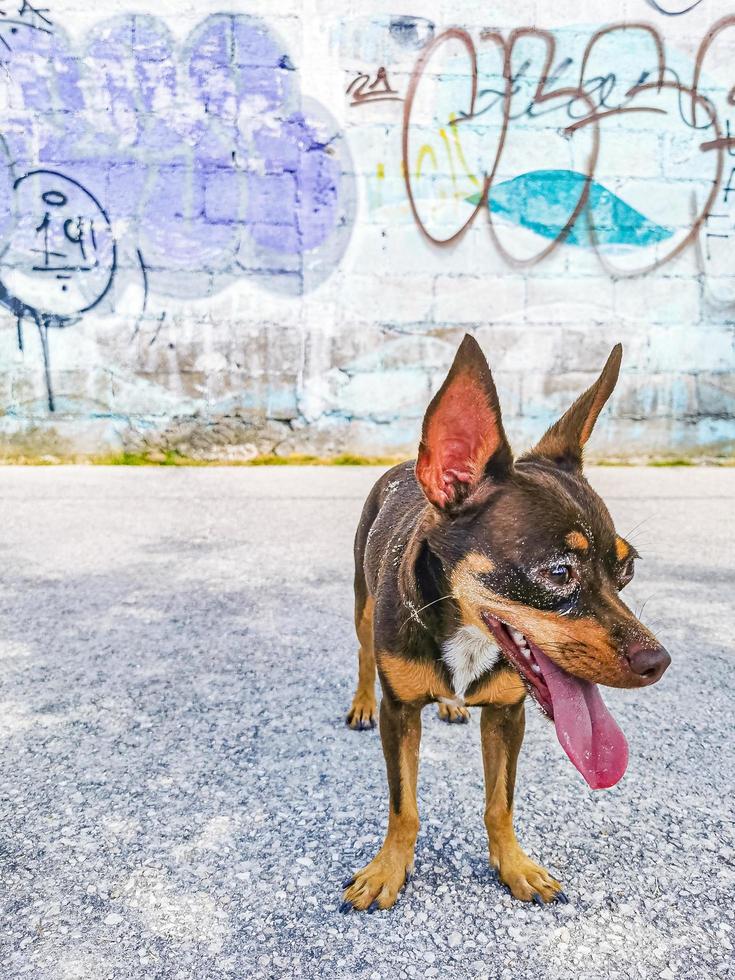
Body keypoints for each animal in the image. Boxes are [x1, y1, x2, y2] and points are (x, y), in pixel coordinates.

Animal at [342, 334, 668, 912]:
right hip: (362, 603)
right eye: (558, 573)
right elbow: (404, 807)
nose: (660, 661)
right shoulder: (398, 713)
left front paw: (514, 865)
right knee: (361, 653)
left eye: (627, 569)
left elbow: (501, 803)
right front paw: (388, 870)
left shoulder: (507, 716)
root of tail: (404, 465)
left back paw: (451, 704)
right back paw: (362, 702)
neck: (465, 635)